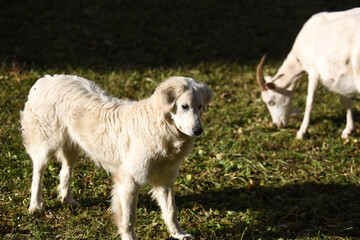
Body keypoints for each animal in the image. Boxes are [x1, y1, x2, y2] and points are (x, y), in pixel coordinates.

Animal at [21, 74, 212, 239]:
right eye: (184, 106)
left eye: (199, 106)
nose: (198, 131)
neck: (161, 127)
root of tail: (46, 79)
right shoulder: (129, 182)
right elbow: (129, 218)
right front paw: (129, 237)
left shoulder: (164, 180)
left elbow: (171, 211)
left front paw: (178, 234)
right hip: (45, 146)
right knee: (37, 174)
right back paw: (35, 206)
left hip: (72, 146)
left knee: (65, 171)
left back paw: (67, 199)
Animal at [256, 7, 360, 139]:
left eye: (271, 102)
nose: (276, 124)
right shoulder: (339, 73)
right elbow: (346, 99)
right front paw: (348, 131)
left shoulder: (314, 71)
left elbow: (309, 101)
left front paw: (301, 133)